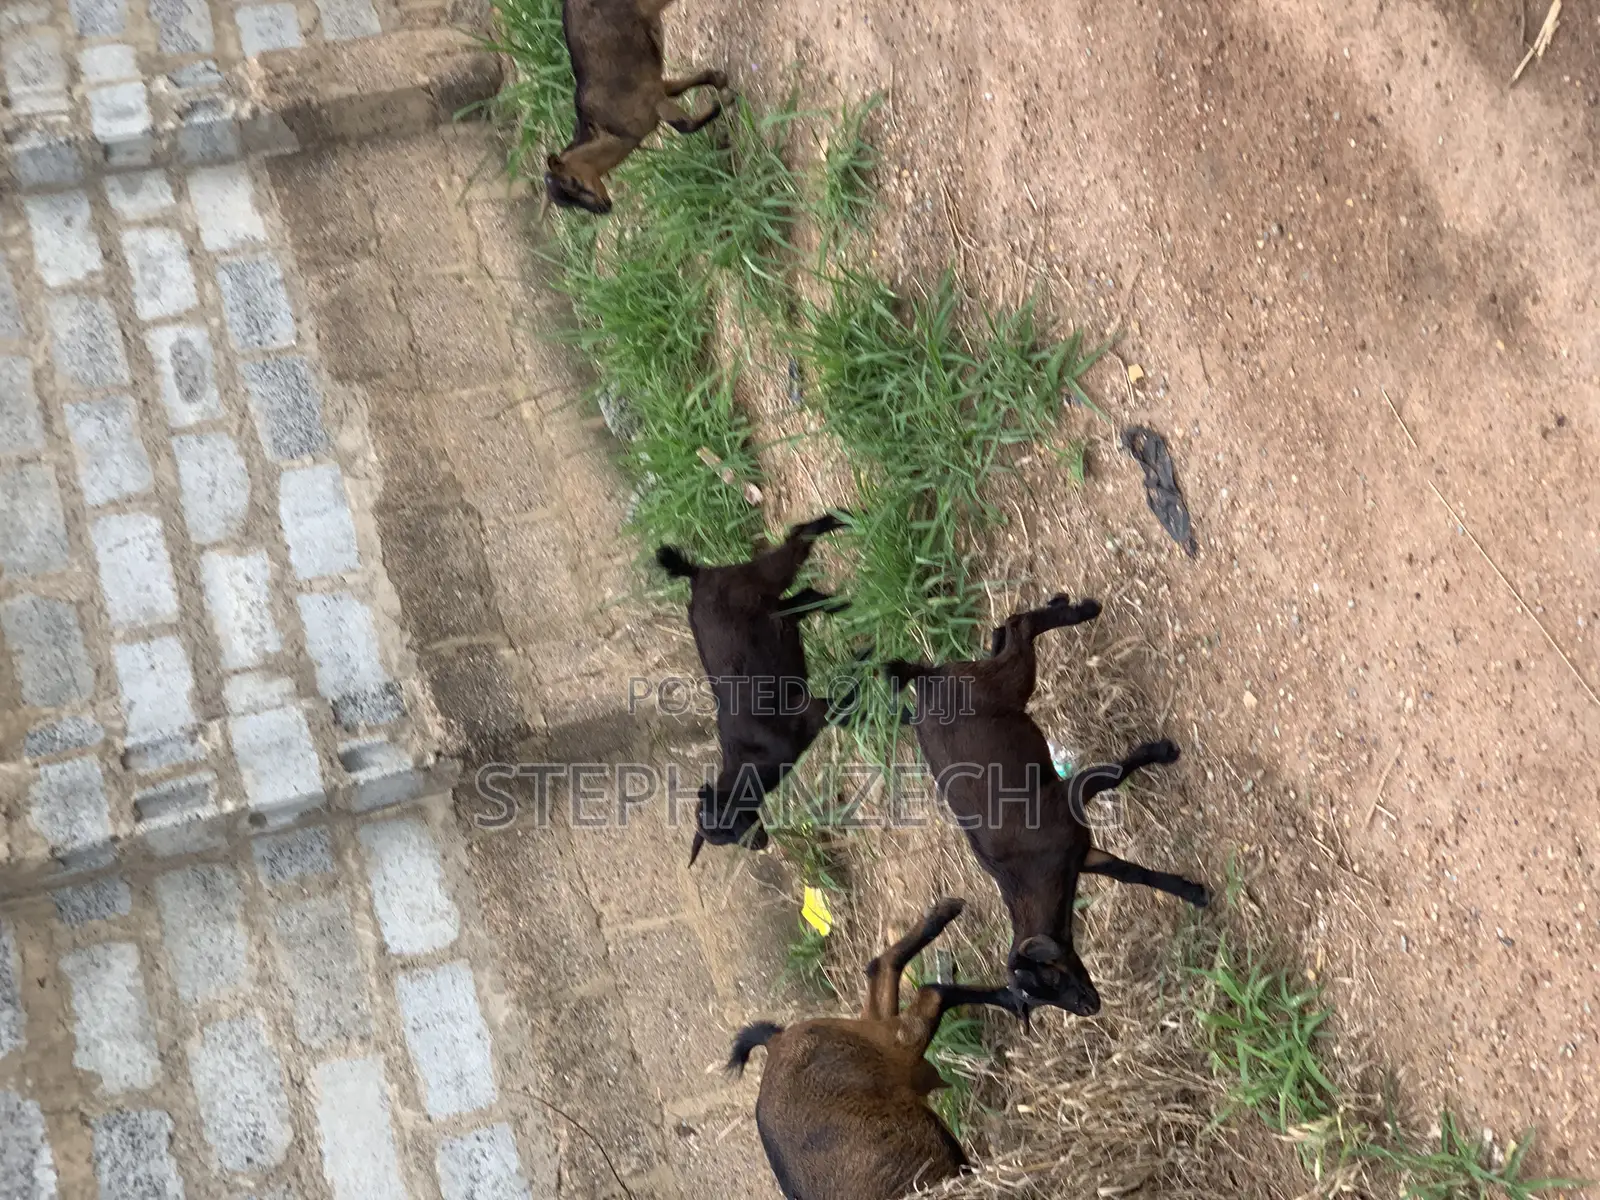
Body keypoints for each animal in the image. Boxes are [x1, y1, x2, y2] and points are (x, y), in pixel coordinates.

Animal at [545, 0, 729, 214]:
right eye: (567, 204)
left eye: (573, 182)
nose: (603, 208)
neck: (610, 130)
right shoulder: (655, 86)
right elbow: (680, 88)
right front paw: (719, 80)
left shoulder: (651, 101)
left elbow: (684, 126)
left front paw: (724, 102)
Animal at [656, 512, 854, 865]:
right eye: (723, 840)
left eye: (727, 819)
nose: (760, 843)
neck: (752, 762)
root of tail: (697, 576)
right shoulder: (809, 708)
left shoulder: (807, 710)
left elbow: (843, 708)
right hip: (775, 607)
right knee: (805, 597)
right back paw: (844, 604)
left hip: (762, 577)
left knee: (796, 539)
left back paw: (844, 520)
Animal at [885, 594, 1209, 1016]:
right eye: (1040, 1002)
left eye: (1049, 978)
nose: (1090, 1007)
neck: (1030, 872)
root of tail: (925, 681)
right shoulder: (1080, 853)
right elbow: (1129, 872)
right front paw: (1192, 892)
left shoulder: (1067, 799)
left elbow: (1114, 775)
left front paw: (1162, 751)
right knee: (1004, 634)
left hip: (1005, 683)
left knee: (1017, 627)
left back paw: (1079, 609)